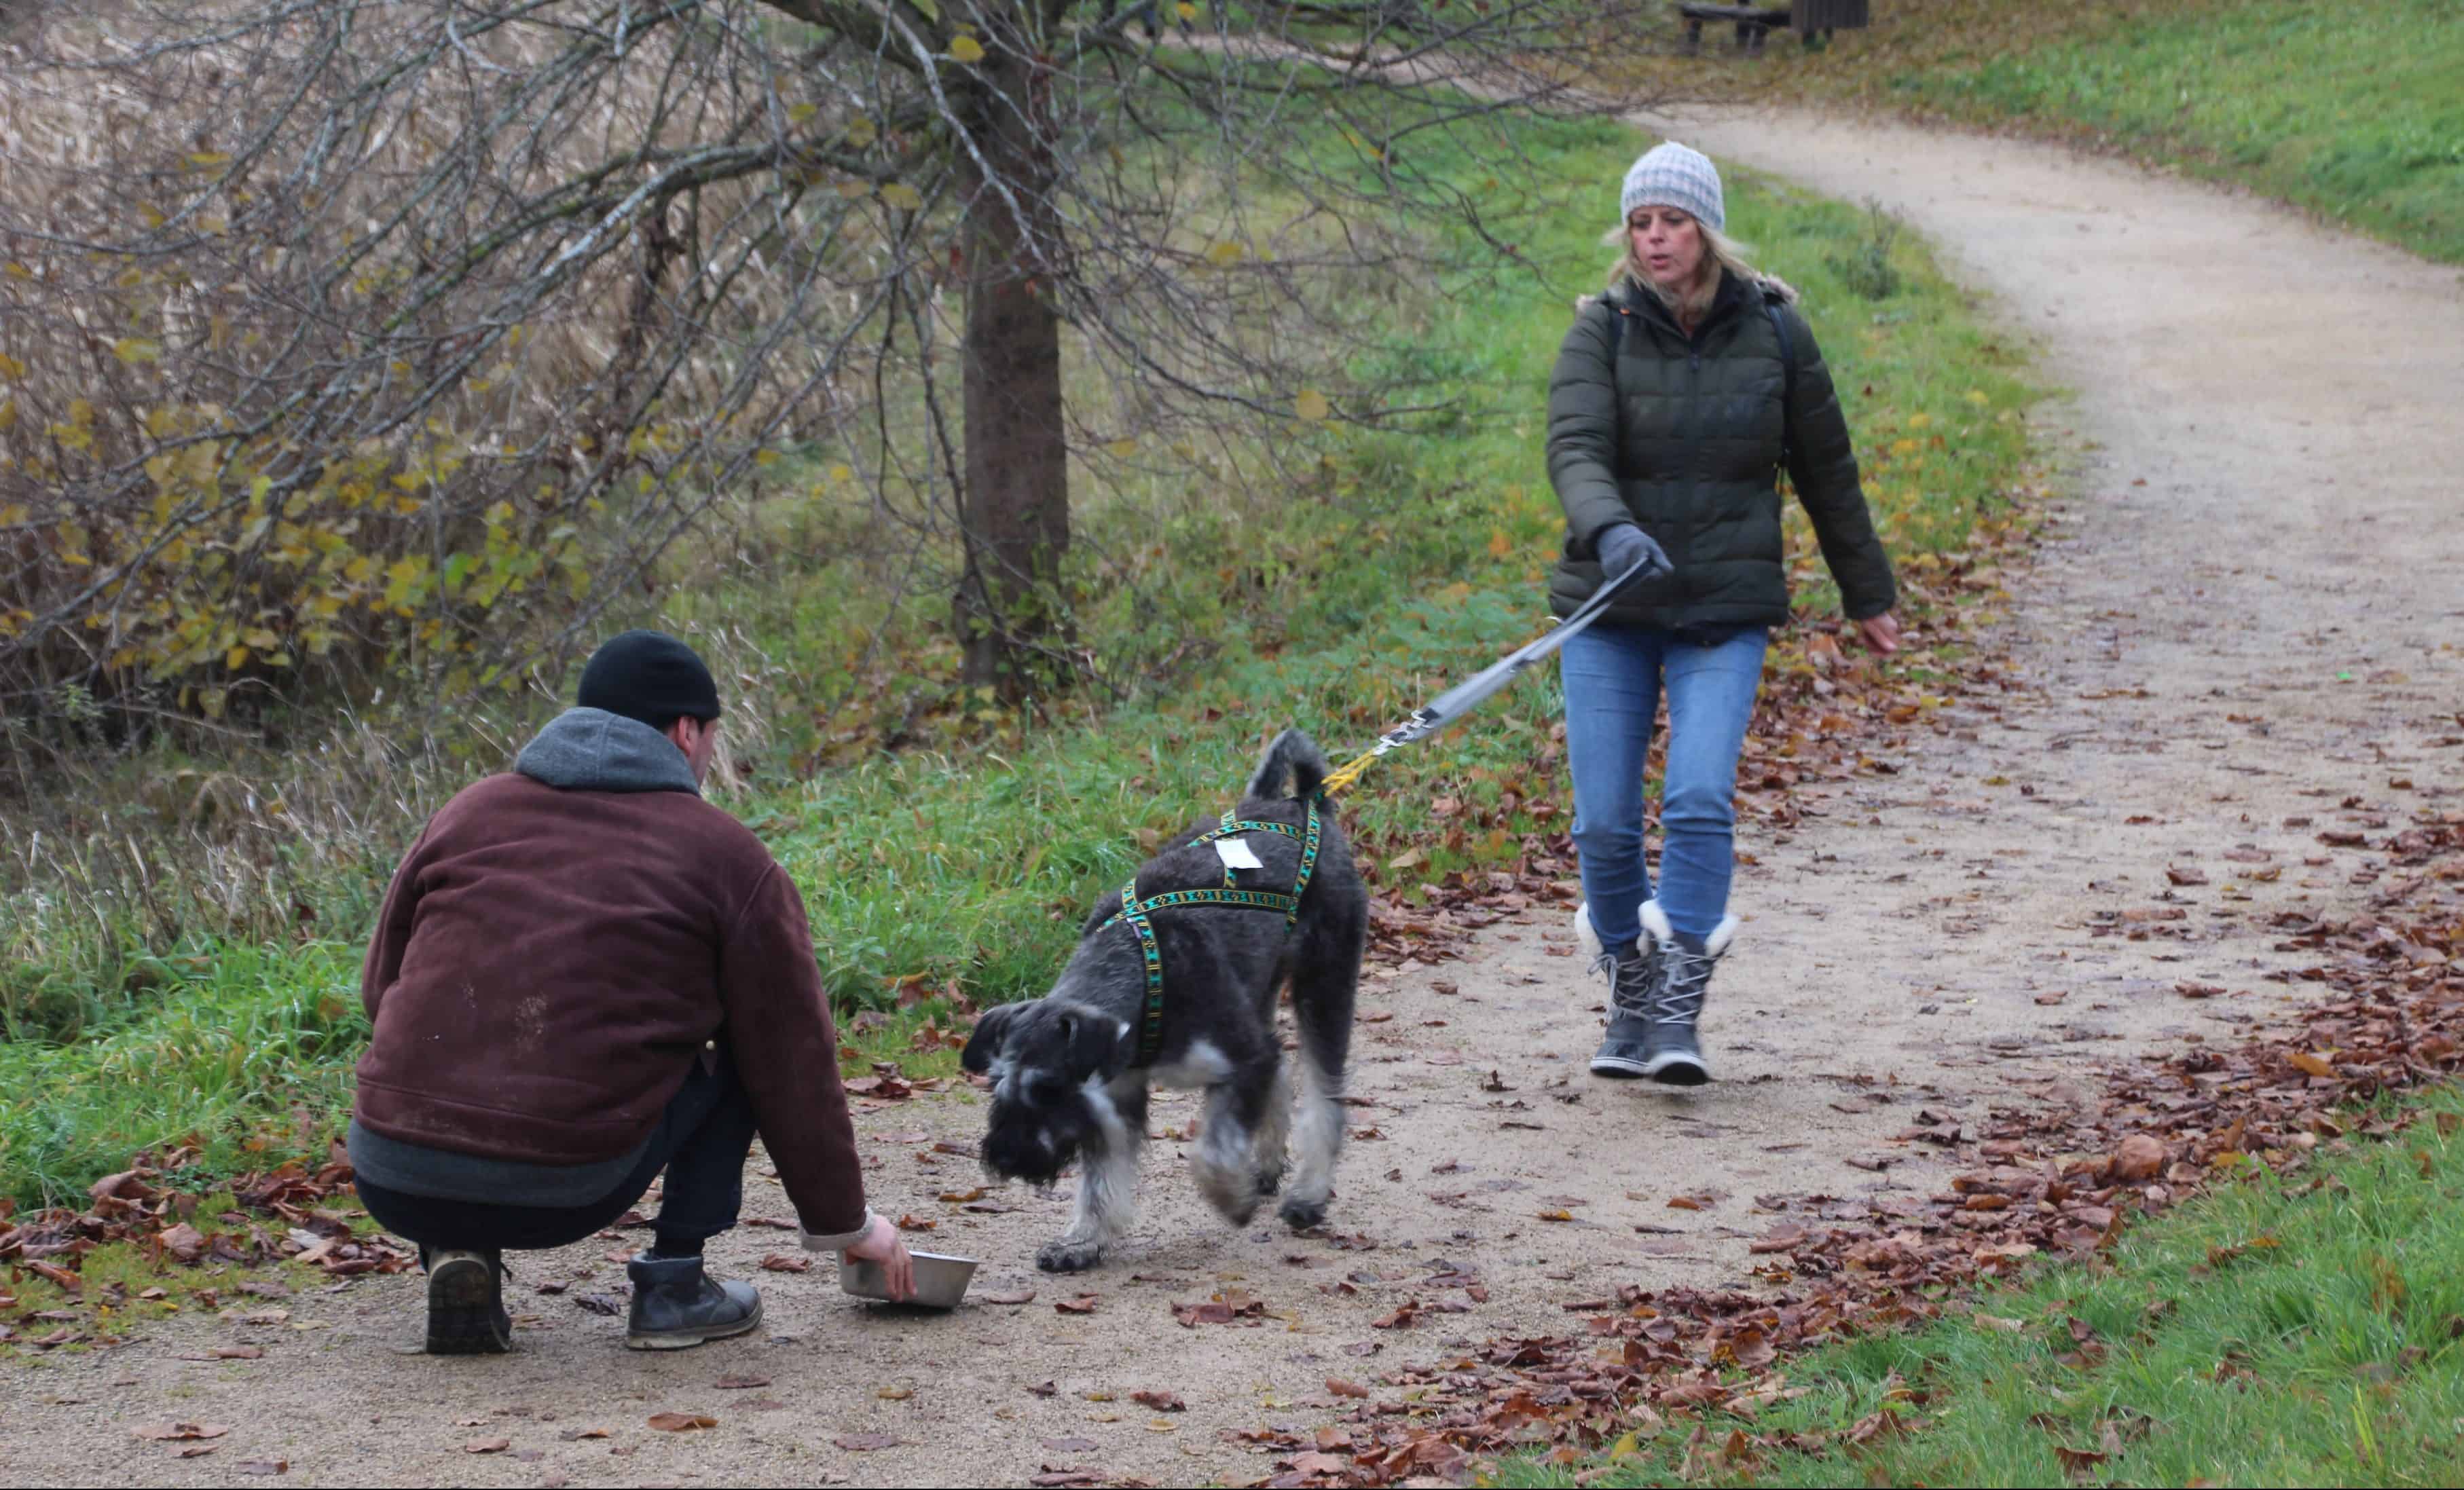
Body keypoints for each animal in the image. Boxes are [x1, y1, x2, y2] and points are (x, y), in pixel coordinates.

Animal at [961, 724, 1380, 1271]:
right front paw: (1082, 1241)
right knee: (1283, 1069)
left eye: (1049, 1086)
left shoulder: (1240, 1059)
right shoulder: (1115, 1094)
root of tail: (1305, 804)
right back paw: (1267, 1166)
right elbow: (1102, 1176)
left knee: (1324, 1093)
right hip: (1259, 988)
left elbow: (1211, 1151)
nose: (1006, 1156)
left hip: (1325, 982)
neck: (1144, 976)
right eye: (996, 1083)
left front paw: (1230, 1197)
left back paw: (1307, 1194)